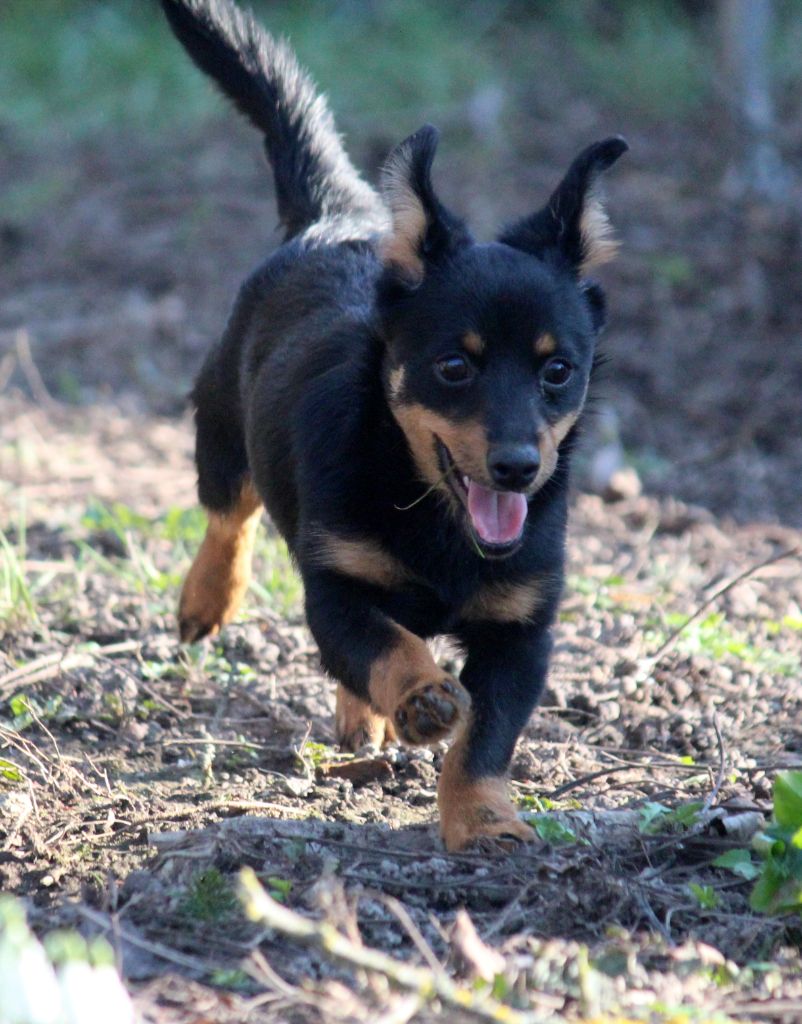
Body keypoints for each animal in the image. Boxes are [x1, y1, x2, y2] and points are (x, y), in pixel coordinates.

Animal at [161, 0, 626, 847]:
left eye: (558, 371)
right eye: (455, 366)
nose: (517, 466)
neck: (438, 516)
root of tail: (336, 213)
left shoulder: (523, 631)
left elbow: (487, 736)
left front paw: (483, 820)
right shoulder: (335, 588)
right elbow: (385, 645)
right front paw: (421, 696)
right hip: (220, 422)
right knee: (229, 511)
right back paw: (207, 600)